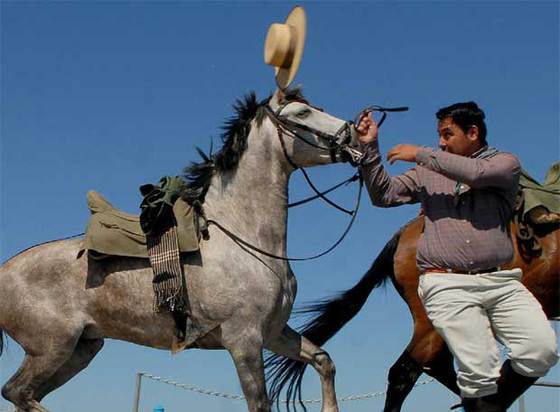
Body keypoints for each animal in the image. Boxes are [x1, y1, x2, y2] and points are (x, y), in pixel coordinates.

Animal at [0, 88, 358, 410]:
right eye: (303, 114)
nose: (354, 136)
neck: (245, 239)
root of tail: (5, 270)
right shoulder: (244, 341)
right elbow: (260, 403)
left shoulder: (273, 333)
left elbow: (324, 360)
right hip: (52, 349)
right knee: (17, 392)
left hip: (81, 349)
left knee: (24, 395)